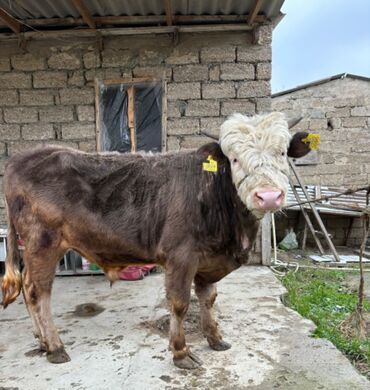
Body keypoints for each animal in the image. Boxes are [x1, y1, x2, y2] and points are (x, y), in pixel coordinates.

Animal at [1, 112, 312, 368]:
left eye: (282, 152)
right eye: (234, 159)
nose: (268, 196)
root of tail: (23, 157)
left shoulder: (208, 260)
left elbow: (208, 299)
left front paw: (215, 338)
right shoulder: (181, 256)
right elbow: (180, 303)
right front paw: (181, 352)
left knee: (28, 288)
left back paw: (42, 342)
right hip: (43, 243)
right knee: (37, 292)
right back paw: (55, 347)